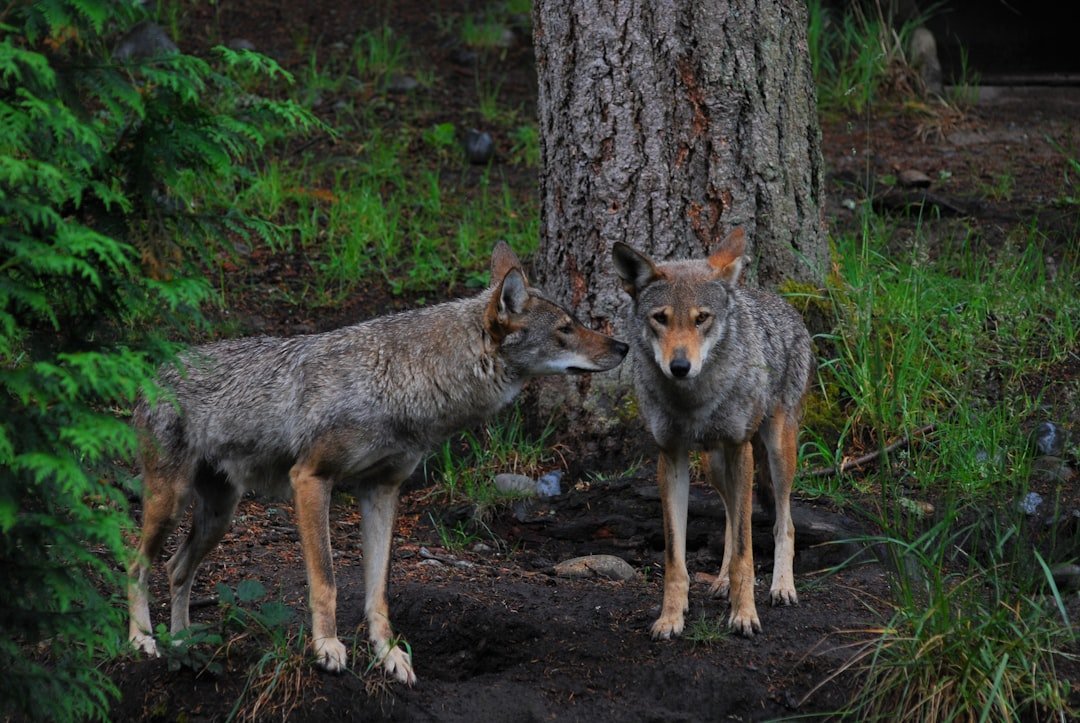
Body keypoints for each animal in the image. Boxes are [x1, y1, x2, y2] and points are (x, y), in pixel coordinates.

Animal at [127, 242, 628, 685]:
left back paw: (184, 644)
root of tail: (157, 369)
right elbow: (326, 581)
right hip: (171, 504)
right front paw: (327, 648)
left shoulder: (383, 492)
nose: (623, 346)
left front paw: (389, 656)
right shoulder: (311, 480)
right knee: (136, 565)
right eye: (566, 329)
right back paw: (143, 641)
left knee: (175, 570)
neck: (401, 381)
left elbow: (379, 593)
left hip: (219, 516)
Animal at [612, 228, 812, 639]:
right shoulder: (671, 456)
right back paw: (720, 582)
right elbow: (677, 558)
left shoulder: (739, 447)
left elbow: (745, 553)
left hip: (775, 451)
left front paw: (745, 615)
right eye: (660, 319)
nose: (680, 366)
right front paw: (671, 618)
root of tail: (779, 302)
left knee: (783, 522)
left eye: (701, 318)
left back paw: (782, 587)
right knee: (732, 519)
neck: (693, 401)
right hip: (714, 464)